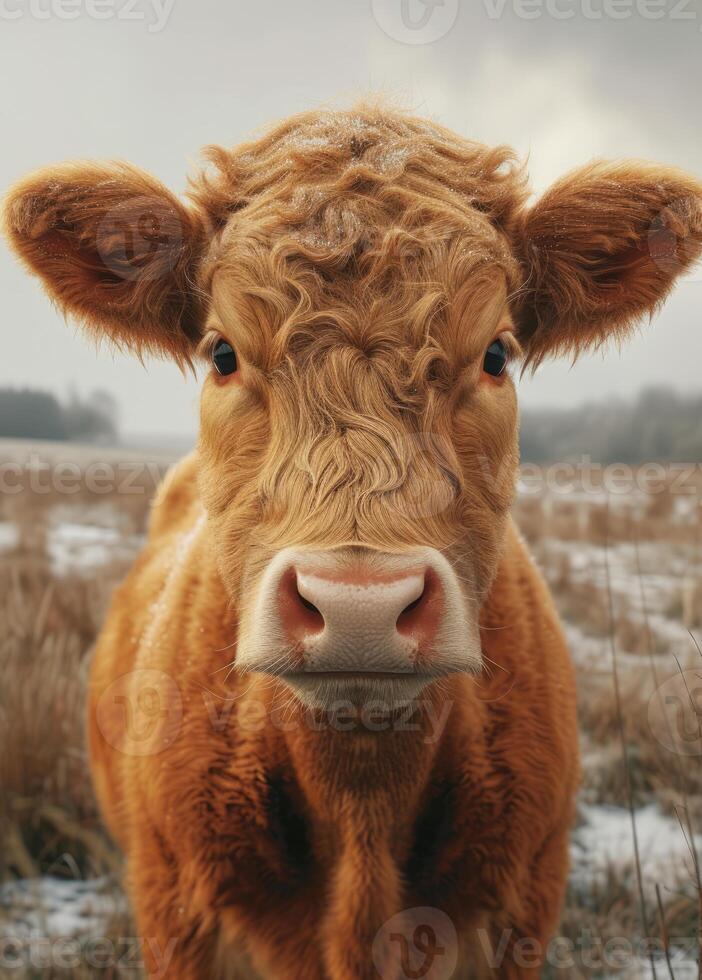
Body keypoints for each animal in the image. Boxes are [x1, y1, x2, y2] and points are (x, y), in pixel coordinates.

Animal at [5, 103, 702, 976]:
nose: (360, 607)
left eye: (497, 354)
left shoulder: (523, 905)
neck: (361, 800)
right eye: (222, 353)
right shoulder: (174, 910)